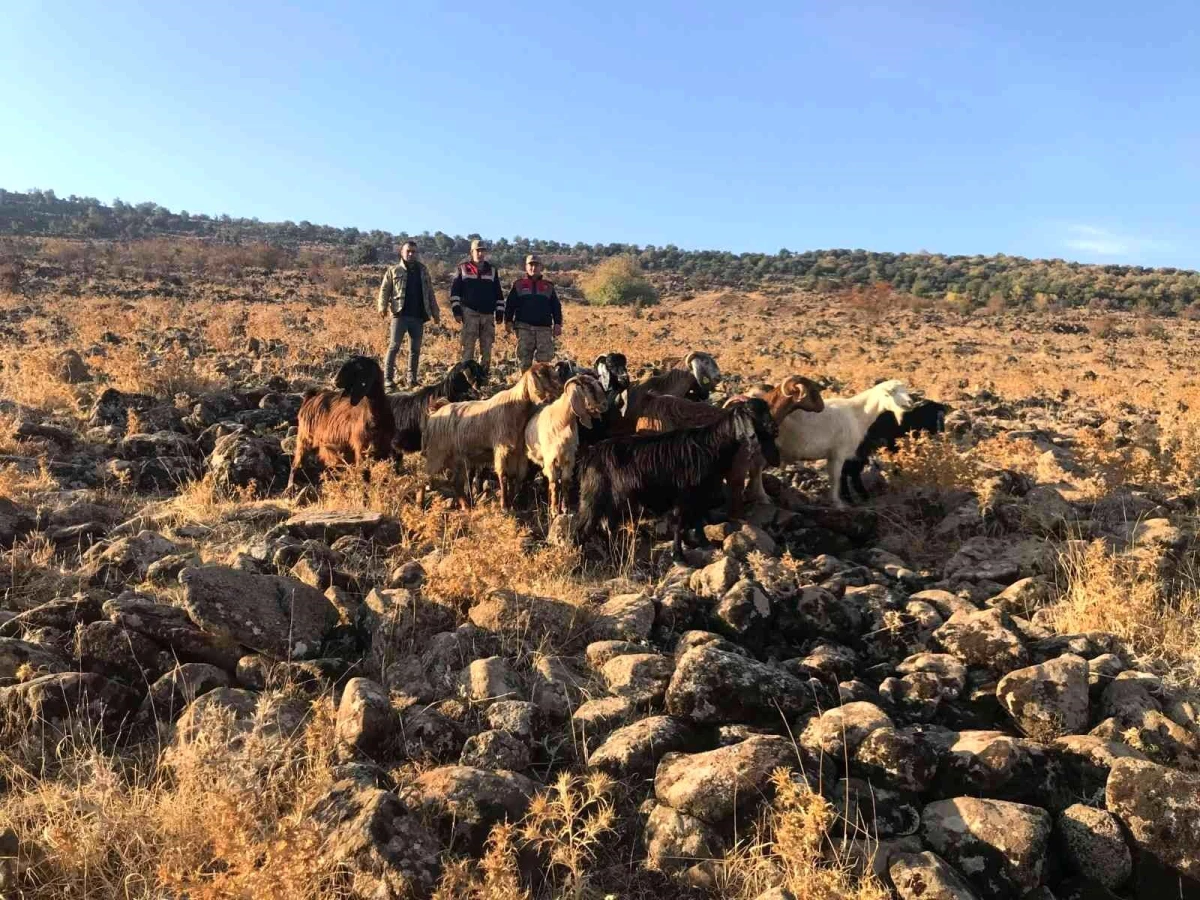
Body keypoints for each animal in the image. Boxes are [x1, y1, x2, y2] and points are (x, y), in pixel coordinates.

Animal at [289, 355, 393, 489]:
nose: (335, 381)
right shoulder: (361, 448)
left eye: (358, 367)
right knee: (296, 464)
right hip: (305, 438)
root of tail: (311, 397)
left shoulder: (385, 448)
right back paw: (291, 488)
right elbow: (364, 474)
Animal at [525, 374, 609, 513]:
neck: (562, 421)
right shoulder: (551, 459)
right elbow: (554, 483)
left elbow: (565, 482)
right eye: (590, 388)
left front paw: (565, 508)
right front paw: (554, 510)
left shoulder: (569, 458)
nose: (605, 405)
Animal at [578, 398, 782, 561]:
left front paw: (702, 543)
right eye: (751, 413)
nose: (774, 430)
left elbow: (698, 520)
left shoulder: (700, 495)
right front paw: (678, 555)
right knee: (583, 528)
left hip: (612, 503)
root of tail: (592, 454)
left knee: (605, 528)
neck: (711, 446)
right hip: (595, 497)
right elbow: (680, 523)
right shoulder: (684, 495)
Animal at [763, 381, 912, 508]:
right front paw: (837, 503)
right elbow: (836, 478)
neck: (857, 414)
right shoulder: (838, 453)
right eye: (891, 392)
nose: (910, 402)